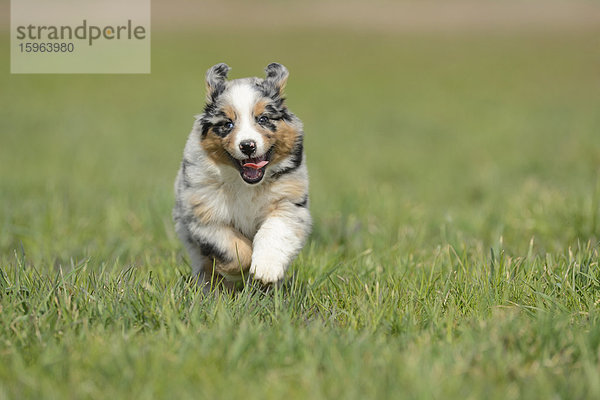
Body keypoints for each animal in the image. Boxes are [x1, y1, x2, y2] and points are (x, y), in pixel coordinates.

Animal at [172, 61, 310, 288]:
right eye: (227, 124)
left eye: (263, 119)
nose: (247, 145)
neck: (245, 184)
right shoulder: (204, 214)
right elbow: (234, 248)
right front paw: (238, 272)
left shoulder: (287, 203)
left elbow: (274, 232)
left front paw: (265, 270)